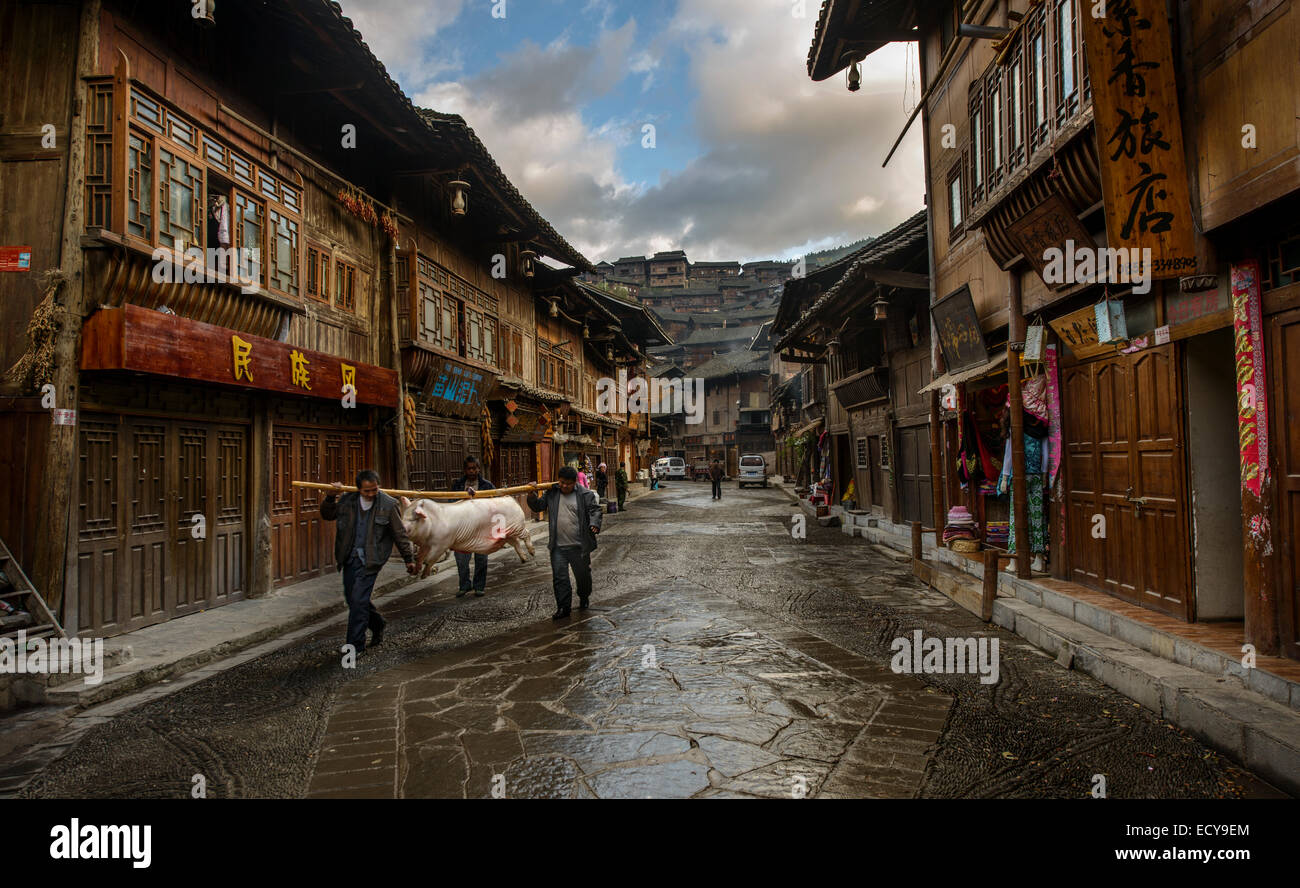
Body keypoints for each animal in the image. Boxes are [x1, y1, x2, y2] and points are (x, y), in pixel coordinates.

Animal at [397, 488, 535, 579]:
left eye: (412, 519)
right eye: (403, 516)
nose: (402, 526)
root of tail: (510, 499)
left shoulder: (442, 543)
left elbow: (429, 559)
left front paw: (424, 576)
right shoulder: (425, 545)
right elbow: (419, 557)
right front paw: (415, 571)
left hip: (518, 526)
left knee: (527, 533)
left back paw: (532, 553)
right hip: (507, 534)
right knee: (516, 543)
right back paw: (524, 559)